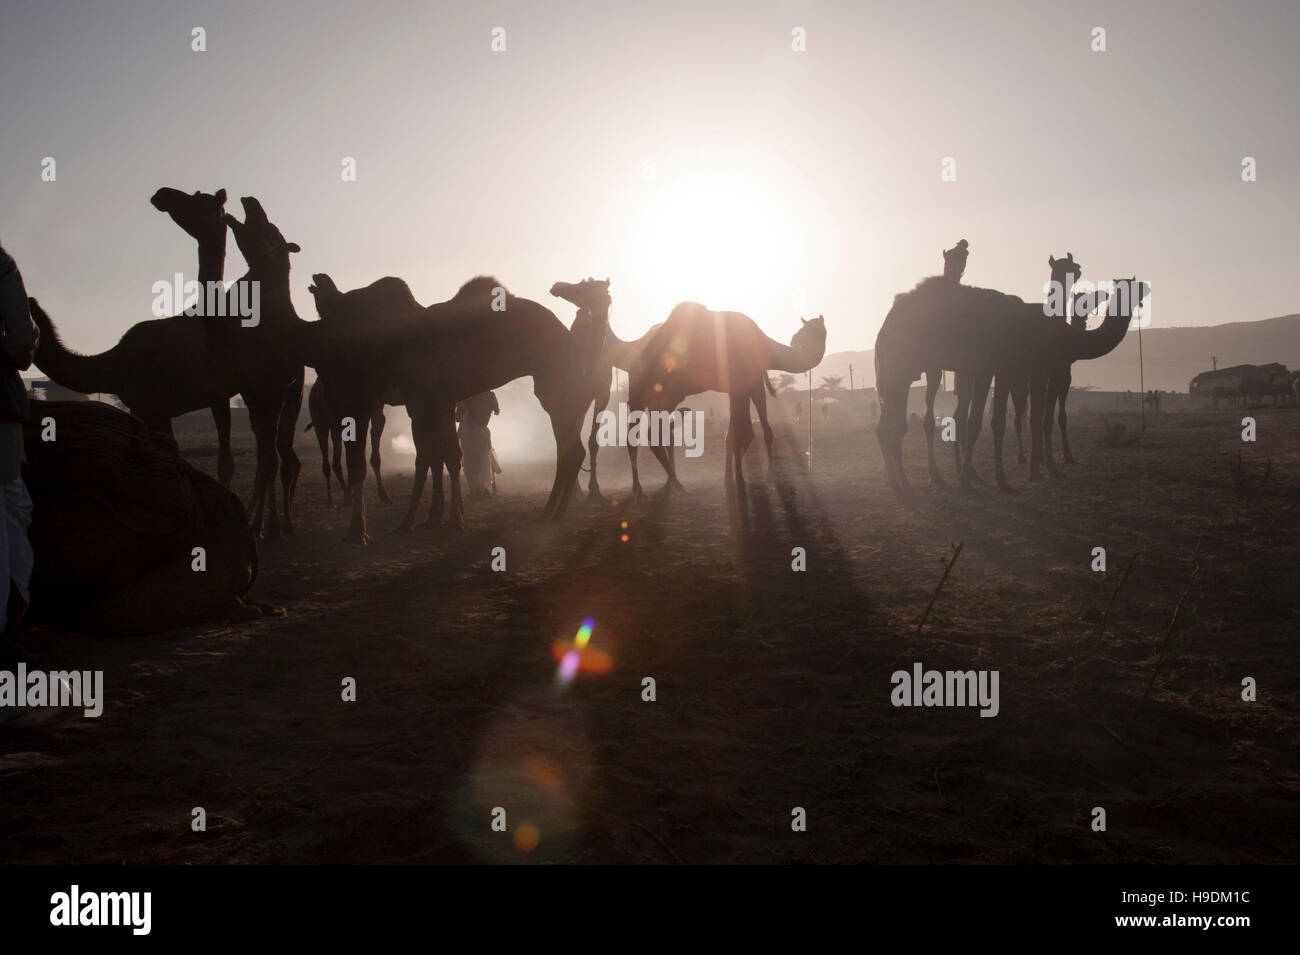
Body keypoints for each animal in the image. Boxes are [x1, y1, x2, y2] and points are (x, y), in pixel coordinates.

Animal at [31, 196, 305, 537]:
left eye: (266, 227)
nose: (249, 201)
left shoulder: (153, 405)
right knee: (274, 453)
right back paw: (271, 524)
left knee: (274, 456)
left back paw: (271, 526)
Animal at [618, 304, 821, 501]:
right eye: (801, 333)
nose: (798, 341)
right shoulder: (741, 381)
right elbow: (741, 433)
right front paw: (742, 480)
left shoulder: (748, 383)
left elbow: (741, 433)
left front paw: (731, 478)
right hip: (643, 390)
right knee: (646, 435)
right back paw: (666, 488)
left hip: (664, 394)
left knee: (651, 434)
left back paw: (659, 487)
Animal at [873, 272, 1149, 496]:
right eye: (1126, 288)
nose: (1145, 289)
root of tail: (885, 326)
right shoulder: (1006, 368)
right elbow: (982, 423)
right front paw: (970, 482)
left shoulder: (1004, 370)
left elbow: (999, 422)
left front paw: (1006, 478)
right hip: (901, 366)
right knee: (894, 424)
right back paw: (905, 486)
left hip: (903, 371)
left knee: (891, 424)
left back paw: (903, 484)